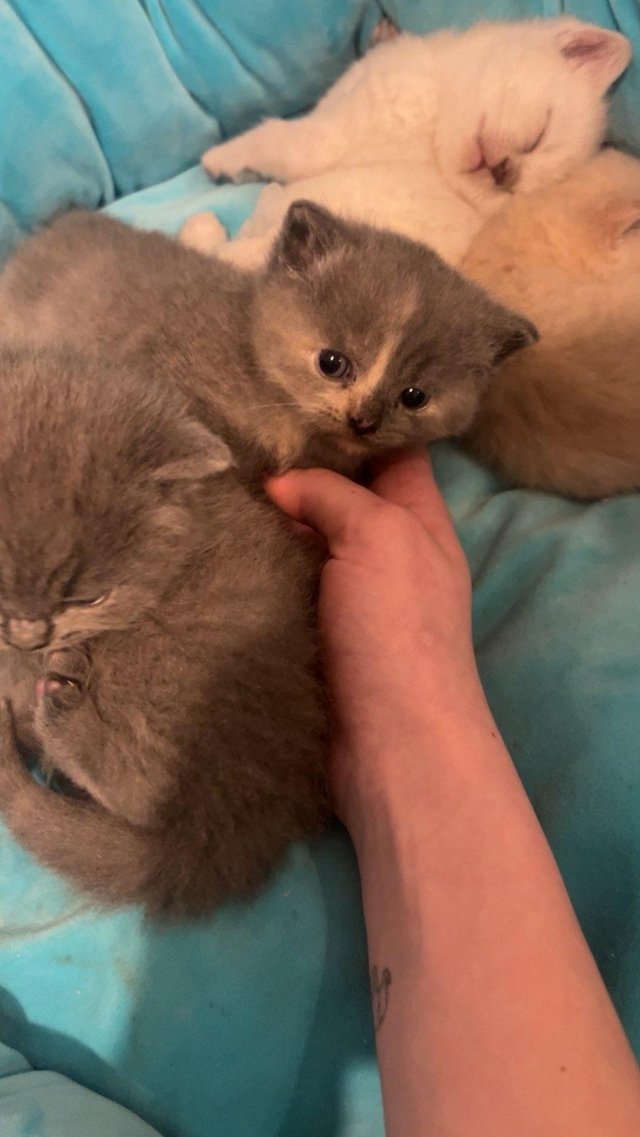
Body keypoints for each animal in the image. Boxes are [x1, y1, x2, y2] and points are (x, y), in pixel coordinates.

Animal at [181, 17, 630, 270]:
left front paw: (218, 158)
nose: (504, 173)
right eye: (540, 136)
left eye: (515, 191)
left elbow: (272, 137)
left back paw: (202, 225)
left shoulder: (325, 137)